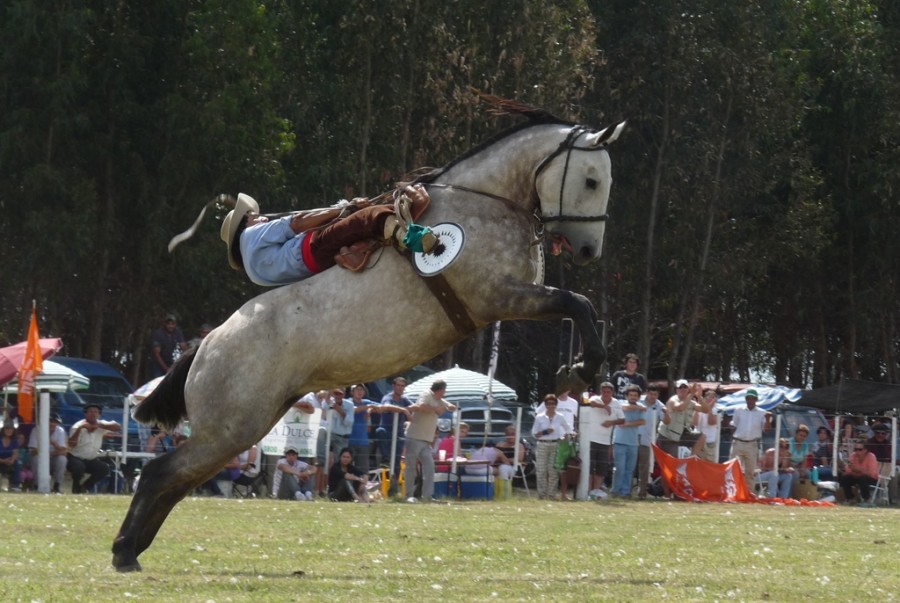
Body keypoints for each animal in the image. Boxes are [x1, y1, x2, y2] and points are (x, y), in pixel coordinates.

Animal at [112, 102, 624, 572]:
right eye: (591, 180)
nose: (588, 250)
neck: (486, 201)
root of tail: (205, 345)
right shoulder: (500, 296)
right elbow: (578, 303)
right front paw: (580, 372)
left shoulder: (513, 299)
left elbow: (579, 307)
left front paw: (576, 368)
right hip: (231, 427)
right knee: (159, 473)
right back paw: (124, 553)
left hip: (243, 426)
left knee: (175, 481)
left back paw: (134, 547)